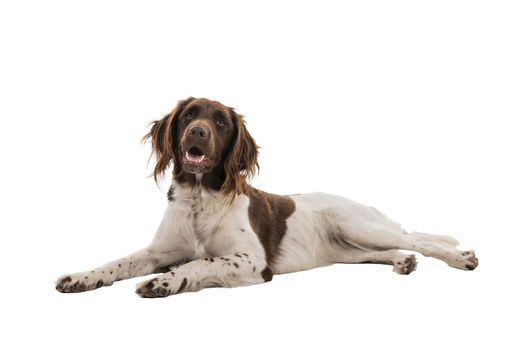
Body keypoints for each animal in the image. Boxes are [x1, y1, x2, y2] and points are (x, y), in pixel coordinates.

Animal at [55, 97, 476, 296]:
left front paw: (165, 283)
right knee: (394, 249)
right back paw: (403, 262)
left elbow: (200, 262)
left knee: (419, 239)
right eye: (189, 115)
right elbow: (117, 262)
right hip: (347, 247)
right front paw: (81, 276)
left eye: (220, 122)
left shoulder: (252, 262)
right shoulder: (159, 251)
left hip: (358, 224)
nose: (196, 132)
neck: (200, 198)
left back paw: (461, 257)